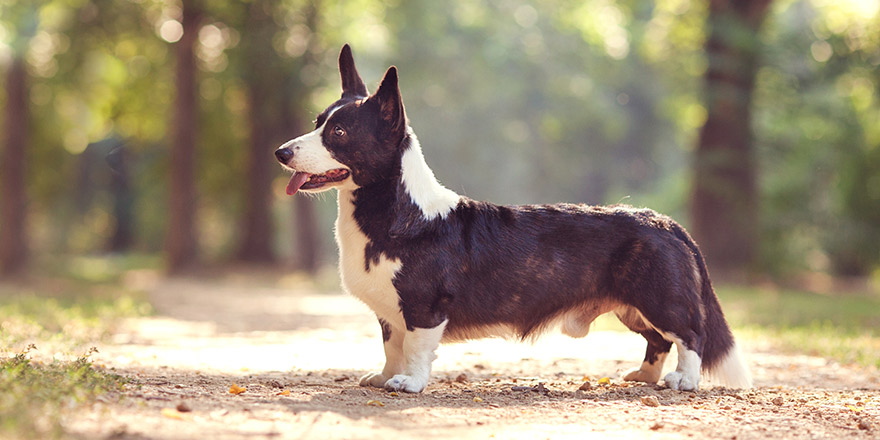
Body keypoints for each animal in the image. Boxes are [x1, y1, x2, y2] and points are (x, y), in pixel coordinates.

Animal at [274, 44, 748, 394]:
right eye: (317, 122)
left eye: (338, 134)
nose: (280, 152)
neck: (398, 212)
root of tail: (666, 223)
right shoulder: (390, 313)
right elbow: (392, 345)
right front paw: (384, 377)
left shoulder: (424, 307)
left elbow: (415, 349)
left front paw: (408, 383)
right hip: (633, 308)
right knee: (658, 340)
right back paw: (644, 376)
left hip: (659, 299)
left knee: (689, 336)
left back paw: (683, 381)